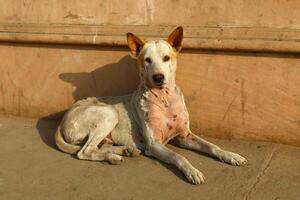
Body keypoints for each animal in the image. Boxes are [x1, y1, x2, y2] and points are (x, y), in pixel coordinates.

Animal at [55, 26, 247, 184]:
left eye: (166, 58)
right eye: (147, 60)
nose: (158, 77)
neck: (165, 100)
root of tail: (64, 117)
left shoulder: (185, 135)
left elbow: (212, 146)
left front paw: (230, 155)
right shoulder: (154, 144)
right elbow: (178, 156)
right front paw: (192, 171)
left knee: (98, 147)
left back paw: (123, 151)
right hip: (109, 114)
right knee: (84, 151)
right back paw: (115, 156)